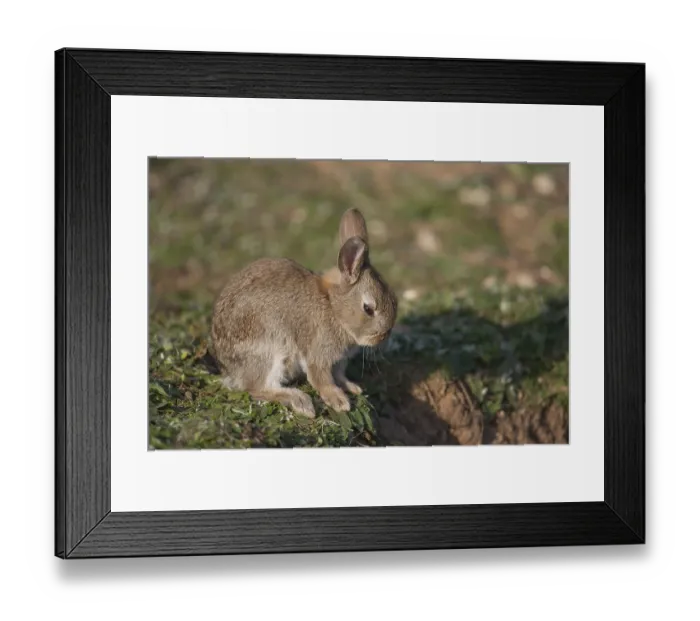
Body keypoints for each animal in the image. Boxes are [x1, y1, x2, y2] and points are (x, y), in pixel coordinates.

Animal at [210, 208, 398, 418]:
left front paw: (353, 388)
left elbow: (339, 375)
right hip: (269, 352)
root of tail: (228, 370)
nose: (384, 335)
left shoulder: (339, 361)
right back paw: (300, 401)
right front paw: (339, 401)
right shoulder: (318, 353)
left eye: (394, 298)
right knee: (256, 388)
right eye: (368, 309)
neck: (333, 306)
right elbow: (321, 379)